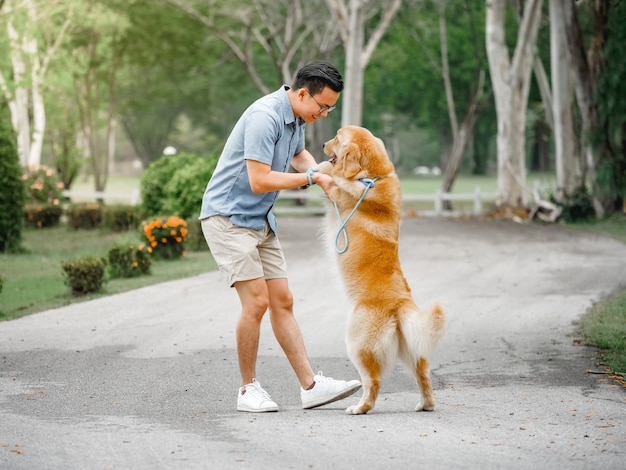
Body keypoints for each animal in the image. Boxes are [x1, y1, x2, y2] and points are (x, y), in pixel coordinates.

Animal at [316, 126, 444, 414]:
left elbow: (334, 176)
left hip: (357, 344)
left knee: (372, 381)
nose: (322, 143)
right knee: (423, 374)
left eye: (337, 137)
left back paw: (360, 407)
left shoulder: (338, 194)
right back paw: (425, 404)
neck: (371, 178)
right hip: (411, 350)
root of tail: (400, 304)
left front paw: (321, 168)